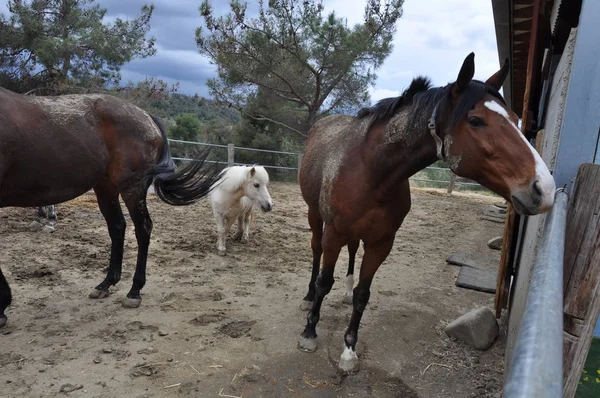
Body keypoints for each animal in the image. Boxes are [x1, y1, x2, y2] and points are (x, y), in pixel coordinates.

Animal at [0, 88, 220, 328]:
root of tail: (147, 117)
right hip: (105, 187)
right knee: (117, 227)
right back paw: (106, 283)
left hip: (132, 187)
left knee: (143, 228)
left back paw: (134, 291)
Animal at [298, 53, 556, 374]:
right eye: (475, 120)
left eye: (515, 120)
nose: (544, 189)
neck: (369, 170)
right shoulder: (335, 233)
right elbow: (324, 282)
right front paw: (310, 332)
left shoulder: (381, 243)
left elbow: (362, 295)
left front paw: (349, 350)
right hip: (315, 217)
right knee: (316, 252)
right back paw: (308, 297)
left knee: (352, 253)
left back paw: (343, 292)